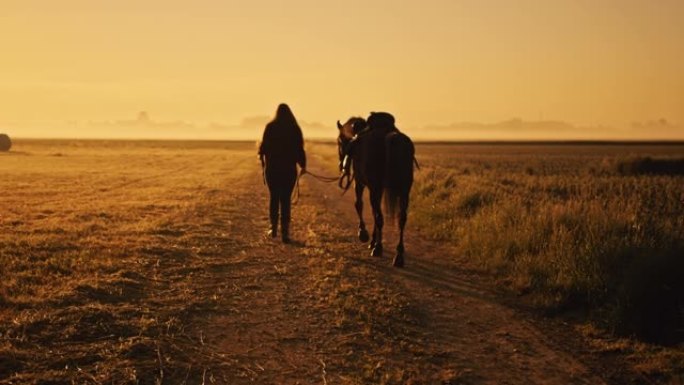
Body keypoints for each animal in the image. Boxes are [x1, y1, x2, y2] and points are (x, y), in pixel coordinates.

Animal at [336, 111, 414, 268]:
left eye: (339, 141)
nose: (341, 165)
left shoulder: (361, 183)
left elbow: (360, 205)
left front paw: (364, 235)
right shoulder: (379, 189)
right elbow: (373, 211)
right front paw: (372, 240)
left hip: (376, 188)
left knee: (379, 217)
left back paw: (378, 248)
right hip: (404, 190)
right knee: (401, 219)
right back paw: (398, 255)